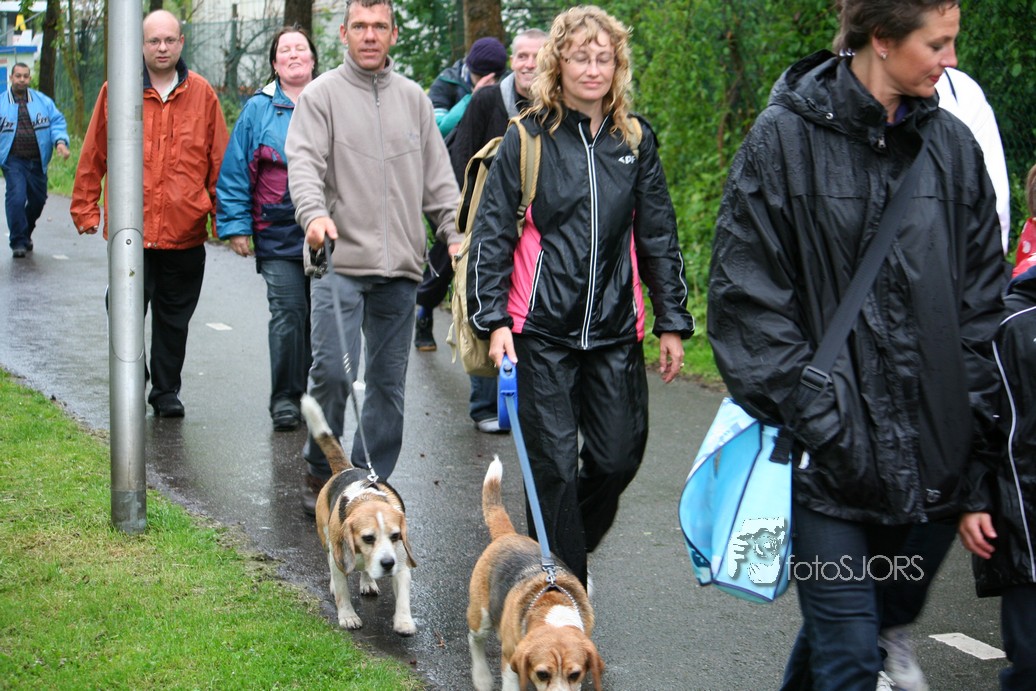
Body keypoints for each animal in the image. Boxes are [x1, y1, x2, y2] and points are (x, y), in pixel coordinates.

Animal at [300, 394, 417, 635]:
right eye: (368, 538)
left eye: (395, 536)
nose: (387, 563)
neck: (366, 499)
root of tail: (346, 469)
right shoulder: (339, 556)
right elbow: (343, 592)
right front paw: (347, 617)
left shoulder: (401, 560)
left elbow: (403, 596)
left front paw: (404, 622)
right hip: (327, 540)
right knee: (332, 565)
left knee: (365, 572)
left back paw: (368, 581)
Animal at [468, 457, 604, 690]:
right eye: (542, 674)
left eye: (574, 674)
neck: (553, 609)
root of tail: (508, 535)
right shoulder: (511, 663)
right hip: (481, 616)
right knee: (474, 639)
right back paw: (482, 678)